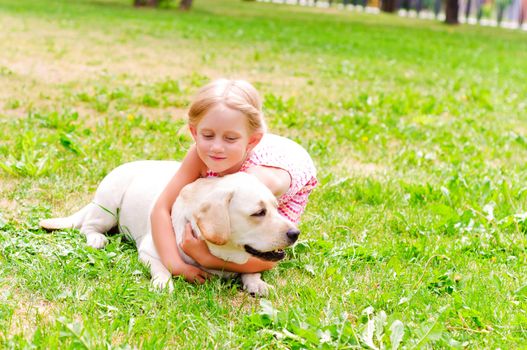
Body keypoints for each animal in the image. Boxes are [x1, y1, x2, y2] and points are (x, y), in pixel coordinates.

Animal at [40, 161, 302, 296]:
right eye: (258, 213)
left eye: (276, 207)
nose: (295, 233)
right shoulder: (149, 250)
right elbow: (162, 267)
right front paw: (163, 283)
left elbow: (252, 270)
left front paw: (256, 283)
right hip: (107, 206)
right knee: (88, 227)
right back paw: (96, 239)